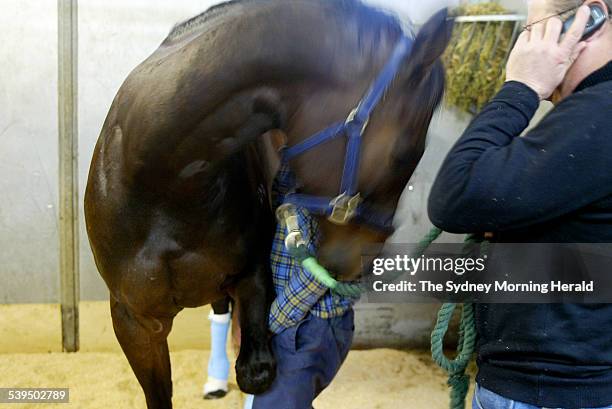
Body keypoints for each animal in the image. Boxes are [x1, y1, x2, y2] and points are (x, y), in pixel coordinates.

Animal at [83, 1, 452, 406]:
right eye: (403, 157)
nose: (360, 262)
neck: (165, 187)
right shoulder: (134, 322)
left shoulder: (253, 276)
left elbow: (256, 372)